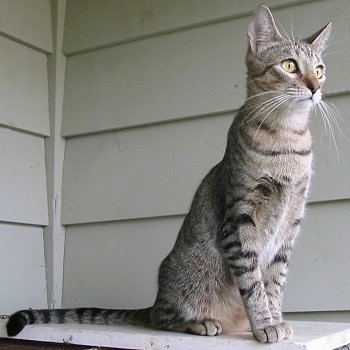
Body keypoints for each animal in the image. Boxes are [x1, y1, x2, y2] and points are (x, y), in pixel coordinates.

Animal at [6, 5, 332, 344]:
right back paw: (200, 323)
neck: (288, 140)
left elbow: (274, 284)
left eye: (319, 69)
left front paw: (275, 319)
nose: (316, 87)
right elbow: (254, 285)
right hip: (190, 277)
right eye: (289, 65)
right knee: (161, 317)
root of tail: (152, 301)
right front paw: (265, 324)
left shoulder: (289, 226)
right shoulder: (238, 222)